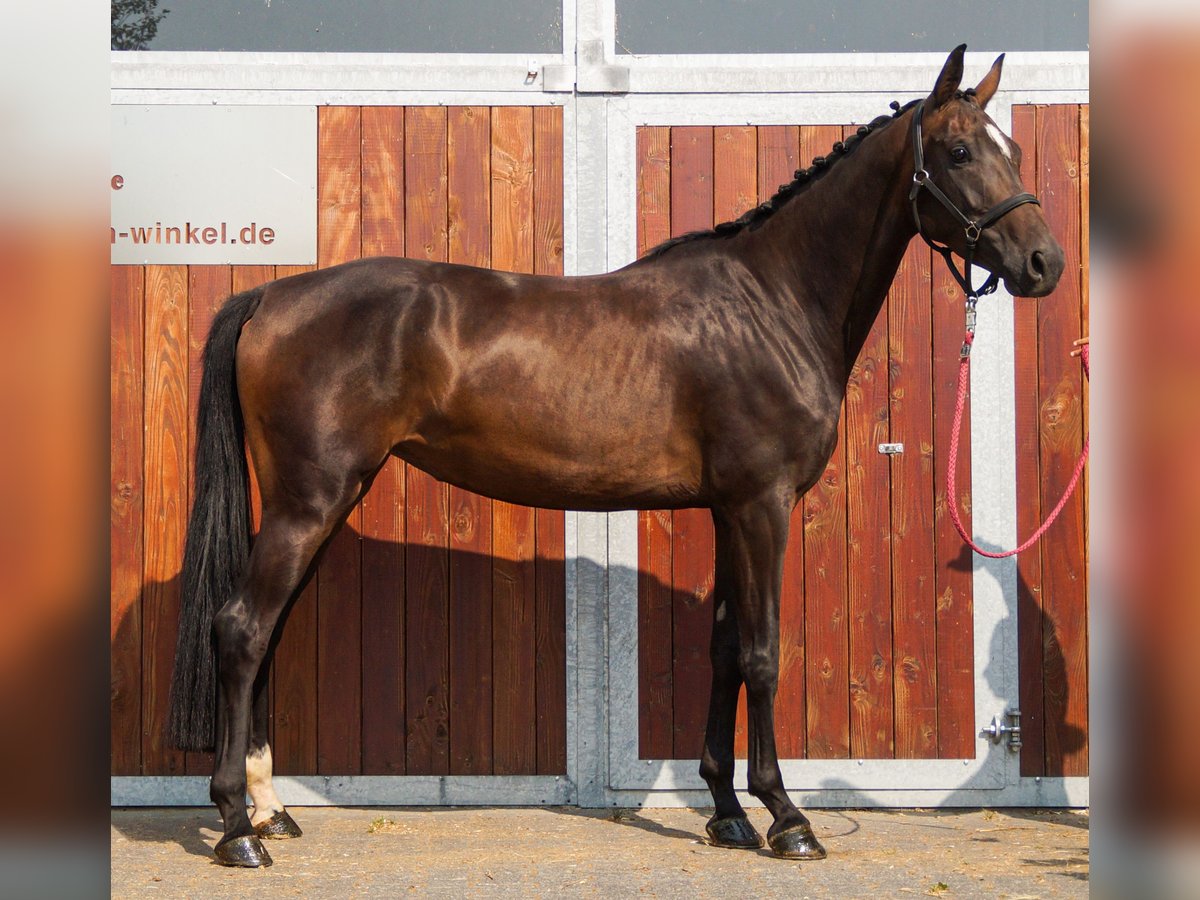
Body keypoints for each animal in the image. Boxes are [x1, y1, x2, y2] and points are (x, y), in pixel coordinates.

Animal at [167, 45, 1064, 867]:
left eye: (1015, 152)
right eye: (959, 152)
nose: (1044, 263)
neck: (770, 303)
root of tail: (271, 294)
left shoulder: (727, 510)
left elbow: (725, 651)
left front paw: (727, 814)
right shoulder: (762, 504)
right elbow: (764, 654)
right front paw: (787, 818)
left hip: (320, 503)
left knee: (267, 633)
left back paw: (270, 810)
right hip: (309, 502)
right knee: (242, 629)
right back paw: (239, 829)